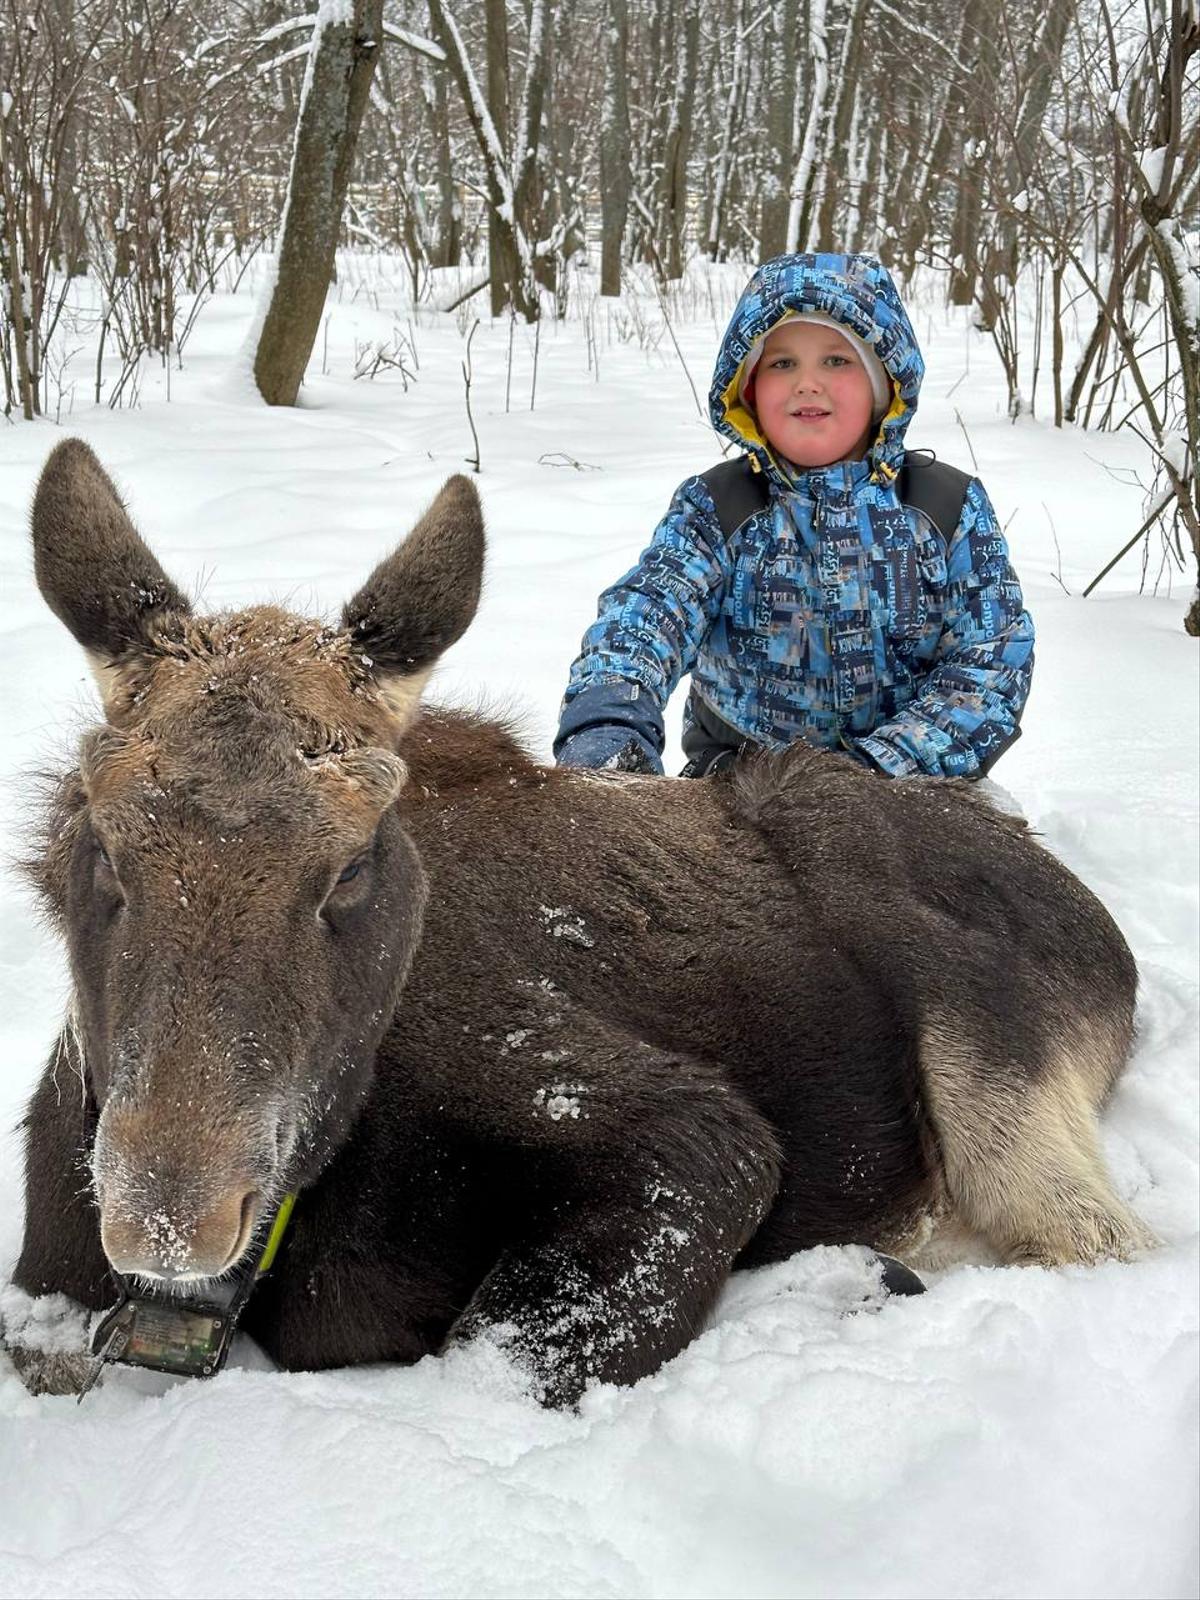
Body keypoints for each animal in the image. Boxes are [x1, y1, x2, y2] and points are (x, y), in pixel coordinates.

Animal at [9, 444, 1158, 1408]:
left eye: (351, 866)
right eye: (100, 842)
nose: (169, 1219)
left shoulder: (697, 1142)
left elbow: (499, 1367)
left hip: (995, 1081)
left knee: (1098, 1239)